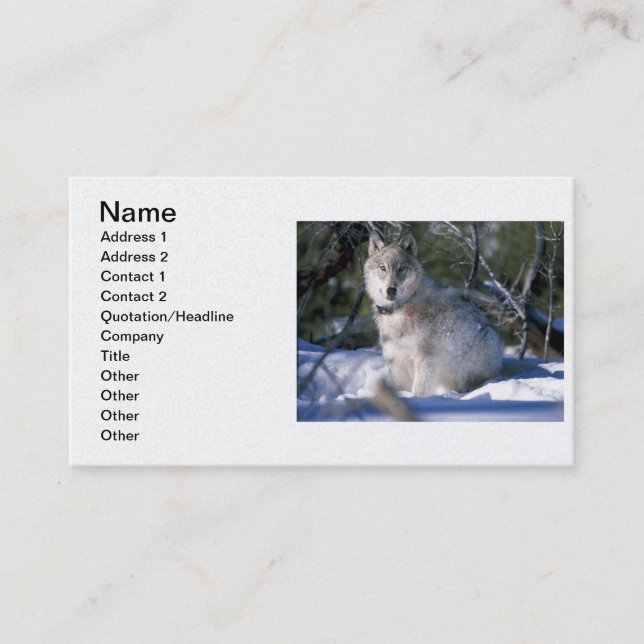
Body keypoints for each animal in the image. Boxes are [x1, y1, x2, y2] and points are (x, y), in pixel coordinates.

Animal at [364, 230, 503, 397]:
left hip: (483, 345)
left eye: (401, 268)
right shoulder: (396, 360)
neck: (400, 310)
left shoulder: (426, 359)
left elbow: (419, 391)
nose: (391, 290)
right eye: (382, 268)